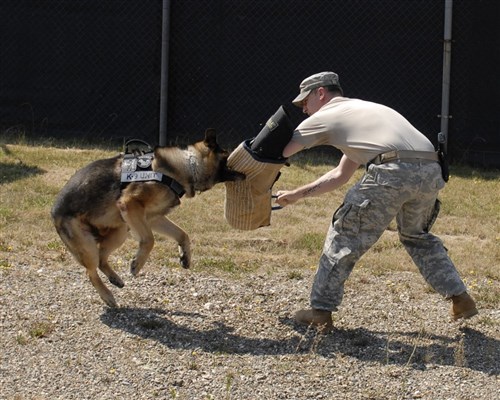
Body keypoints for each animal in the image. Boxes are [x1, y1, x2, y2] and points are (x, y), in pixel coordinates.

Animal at [51, 130, 244, 308]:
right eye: (227, 158)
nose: (245, 175)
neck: (186, 167)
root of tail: (54, 212)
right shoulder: (131, 205)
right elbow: (150, 239)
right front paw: (137, 264)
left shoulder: (152, 217)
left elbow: (182, 234)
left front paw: (185, 256)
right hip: (89, 245)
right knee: (90, 271)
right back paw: (107, 296)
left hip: (120, 232)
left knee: (101, 260)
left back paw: (115, 279)